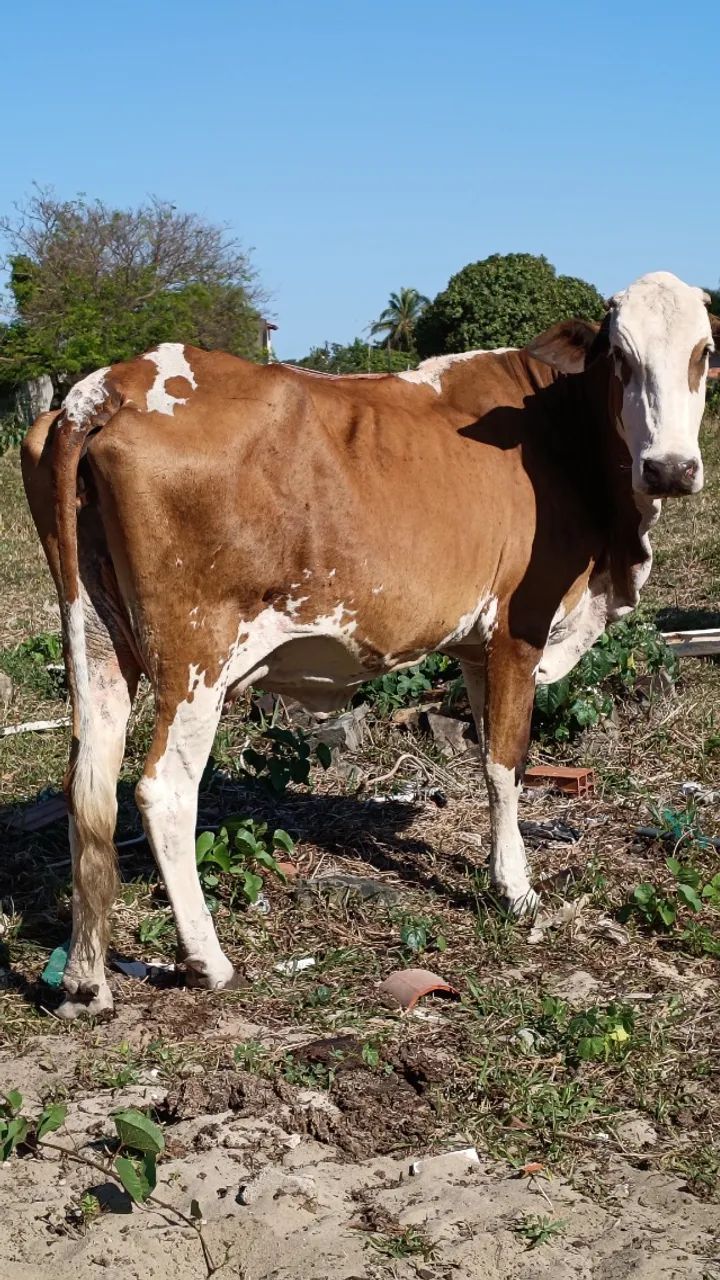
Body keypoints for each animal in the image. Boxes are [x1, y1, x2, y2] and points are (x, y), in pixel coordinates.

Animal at [21, 271, 716, 1019]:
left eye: (704, 351)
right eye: (620, 355)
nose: (670, 468)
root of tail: (112, 382)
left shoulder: (476, 645)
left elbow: (487, 761)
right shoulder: (517, 630)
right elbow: (507, 763)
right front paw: (516, 889)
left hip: (93, 637)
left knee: (89, 786)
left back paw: (86, 981)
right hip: (195, 655)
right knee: (163, 791)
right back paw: (209, 960)